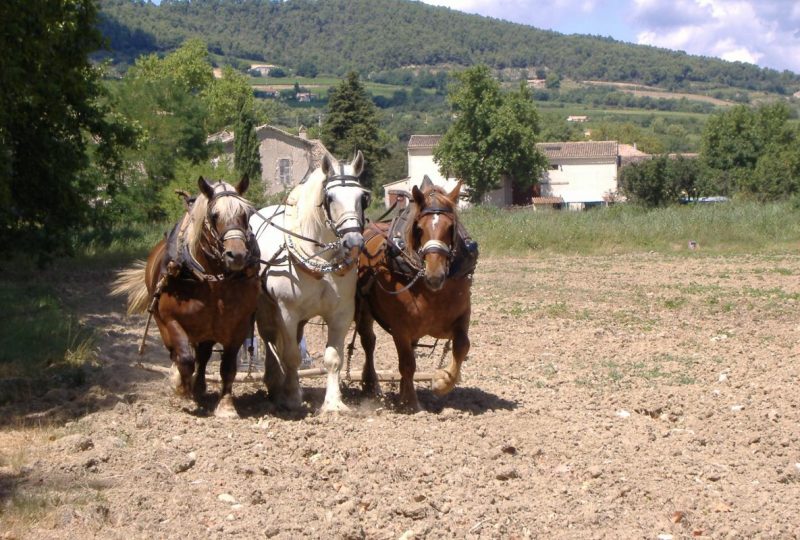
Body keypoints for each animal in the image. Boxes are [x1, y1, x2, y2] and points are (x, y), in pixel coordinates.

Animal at [112, 177, 260, 418]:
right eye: (214, 215)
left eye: (245, 214)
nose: (237, 255)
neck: (211, 279)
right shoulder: (171, 320)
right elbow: (185, 359)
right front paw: (182, 389)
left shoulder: (238, 325)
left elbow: (228, 367)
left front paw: (226, 406)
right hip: (164, 322)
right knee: (178, 353)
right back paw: (182, 382)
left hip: (207, 329)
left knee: (204, 354)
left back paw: (199, 387)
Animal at [252, 150, 370, 412]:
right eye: (330, 198)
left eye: (362, 197)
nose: (354, 241)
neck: (321, 260)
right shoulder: (287, 312)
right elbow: (292, 356)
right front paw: (293, 398)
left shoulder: (342, 313)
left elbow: (333, 359)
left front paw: (334, 403)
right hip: (266, 310)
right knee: (270, 341)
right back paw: (275, 386)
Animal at [354, 177, 476, 410]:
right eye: (419, 228)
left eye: (451, 227)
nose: (435, 274)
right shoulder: (400, 326)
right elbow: (408, 363)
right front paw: (411, 403)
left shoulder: (462, 315)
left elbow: (462, 346)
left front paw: (442, 382)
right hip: (363, 309)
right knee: (368, 342)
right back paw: (371, 384)